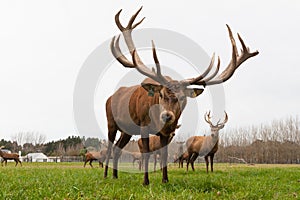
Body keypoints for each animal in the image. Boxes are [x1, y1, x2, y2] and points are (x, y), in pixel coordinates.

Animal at [103, 7, 258, 185]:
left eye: (183, 98)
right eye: (161, 94)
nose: (167, 116)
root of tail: (110, 97)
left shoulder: (166, 133)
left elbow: (164, 156)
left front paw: (165, 180)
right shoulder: (143, 124)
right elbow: (147, 154)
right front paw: (145, 181)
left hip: (127, 129)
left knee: (117, 149)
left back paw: (115, 175)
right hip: (111, 122)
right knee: (110, 147)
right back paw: (106, 175)